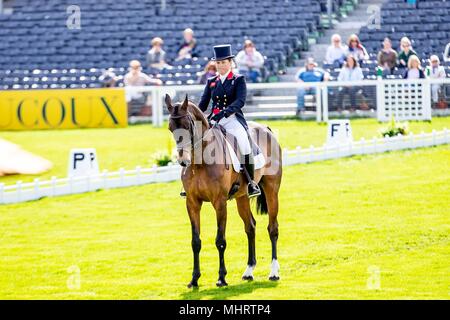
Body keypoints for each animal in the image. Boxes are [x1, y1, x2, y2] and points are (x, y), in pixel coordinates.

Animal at [165, 94, 282, 288]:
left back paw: (273, 272)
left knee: (272, 228)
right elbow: (195, 241)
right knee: (250, 227)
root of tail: (266, 128)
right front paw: (194, 279)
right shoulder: (192, 203)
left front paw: (221, 278)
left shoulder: (219, 202)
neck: (200, 162)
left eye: (188, 125)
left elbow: (220, 240)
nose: (183, 161)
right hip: (242, 196)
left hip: (272, 190)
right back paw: (249, 271)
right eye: (170, 127)